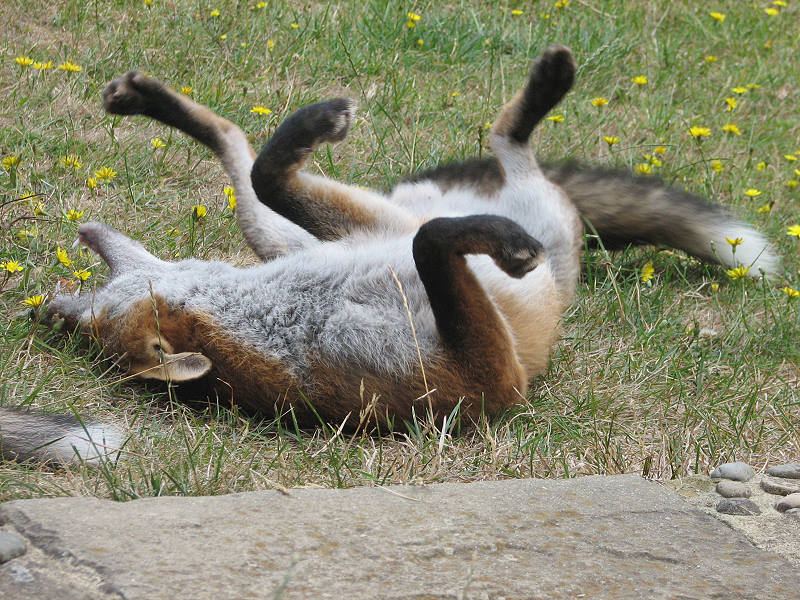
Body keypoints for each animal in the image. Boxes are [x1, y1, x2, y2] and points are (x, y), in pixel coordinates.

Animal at [0, 45, 776, 464]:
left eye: (81, 319)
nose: (43, 310)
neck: (279, 325)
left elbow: (271, 168)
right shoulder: (489, 378)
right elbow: (436, 246)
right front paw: (505, 248)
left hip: (314, 227)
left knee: (252, 158)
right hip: (452, 222)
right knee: (499, 152)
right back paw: (535, 123)